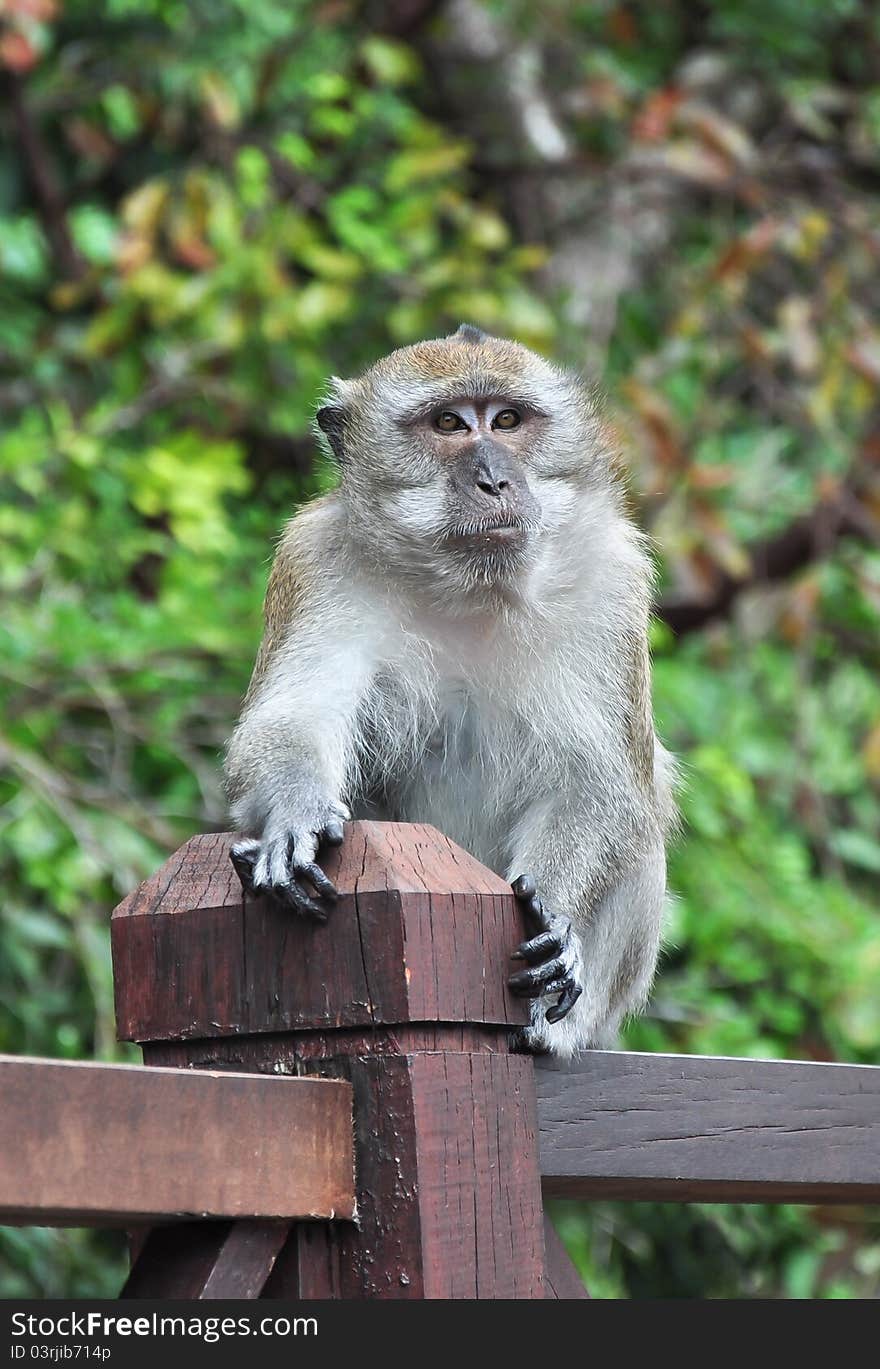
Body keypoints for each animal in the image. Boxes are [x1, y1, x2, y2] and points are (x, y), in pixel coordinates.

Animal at [224, 323, 678, 1056]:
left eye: (507, 420)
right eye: (448, 424)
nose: (495, 477)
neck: (470, 587)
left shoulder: (613, 579)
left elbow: (604, 780)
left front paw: (555, 920)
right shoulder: (315, 559)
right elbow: (293, 718)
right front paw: (295, 817)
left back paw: (556, 1027)